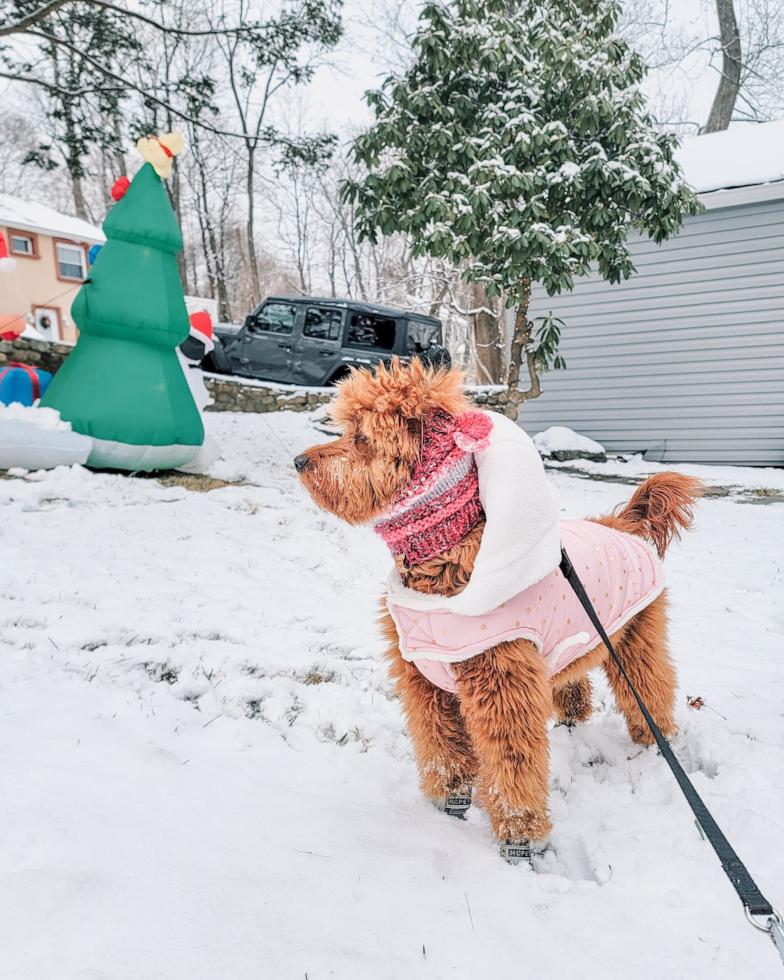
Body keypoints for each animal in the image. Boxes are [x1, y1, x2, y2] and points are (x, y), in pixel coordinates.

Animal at [296, 358, 704, 856]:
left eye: (361, 438)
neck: (445, 559)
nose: (299, 461)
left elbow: (512, 763)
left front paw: (520, 836)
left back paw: (653, 744)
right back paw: (573, 718)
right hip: (573, 642)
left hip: (634, 641)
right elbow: (442, 746)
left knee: (651, 688)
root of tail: (620, 523)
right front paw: (449, 802)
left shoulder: (501, 684)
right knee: (575, 683)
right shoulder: (425, 683)